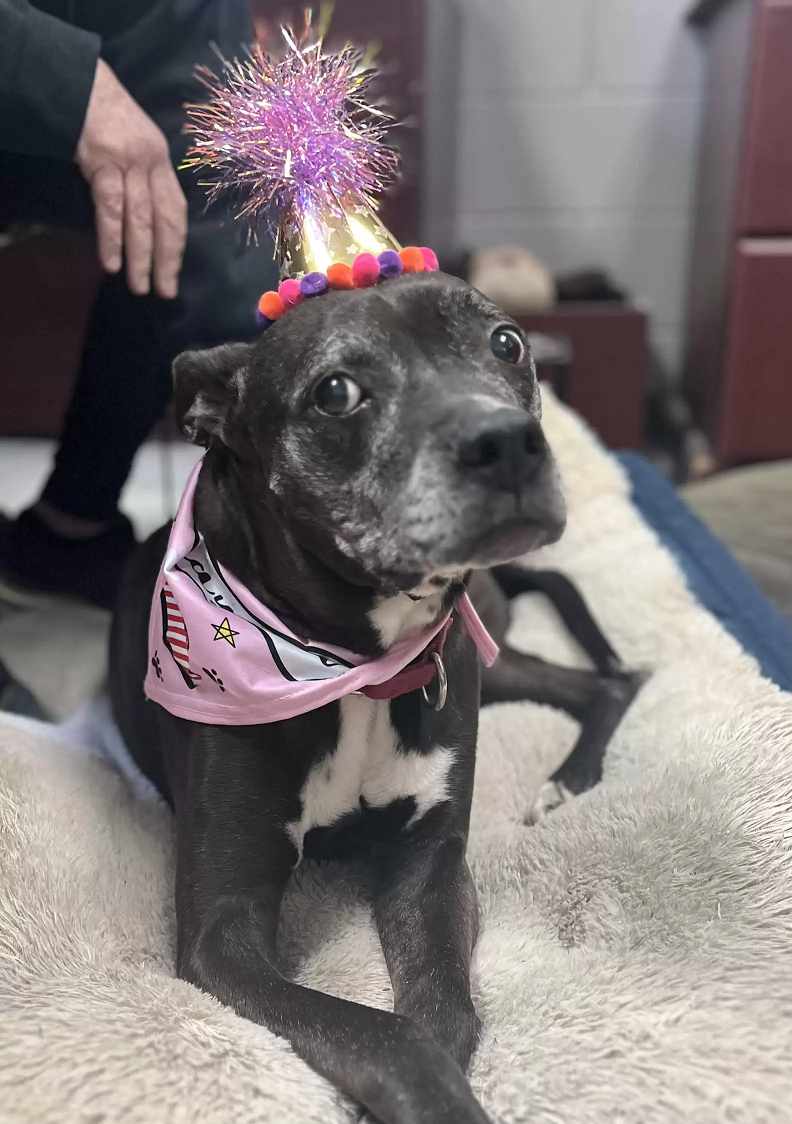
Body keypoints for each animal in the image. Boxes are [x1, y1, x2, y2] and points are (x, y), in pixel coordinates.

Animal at [109, 272, 629, 1124]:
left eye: (507, 343)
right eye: (335, 392)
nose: (506, 441)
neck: (353, 668)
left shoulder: (430, 867)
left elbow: (442, 1010)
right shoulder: (223, 926)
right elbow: (389, 1036)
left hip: (479, 659)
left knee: (606, 681)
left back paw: (569, 780)